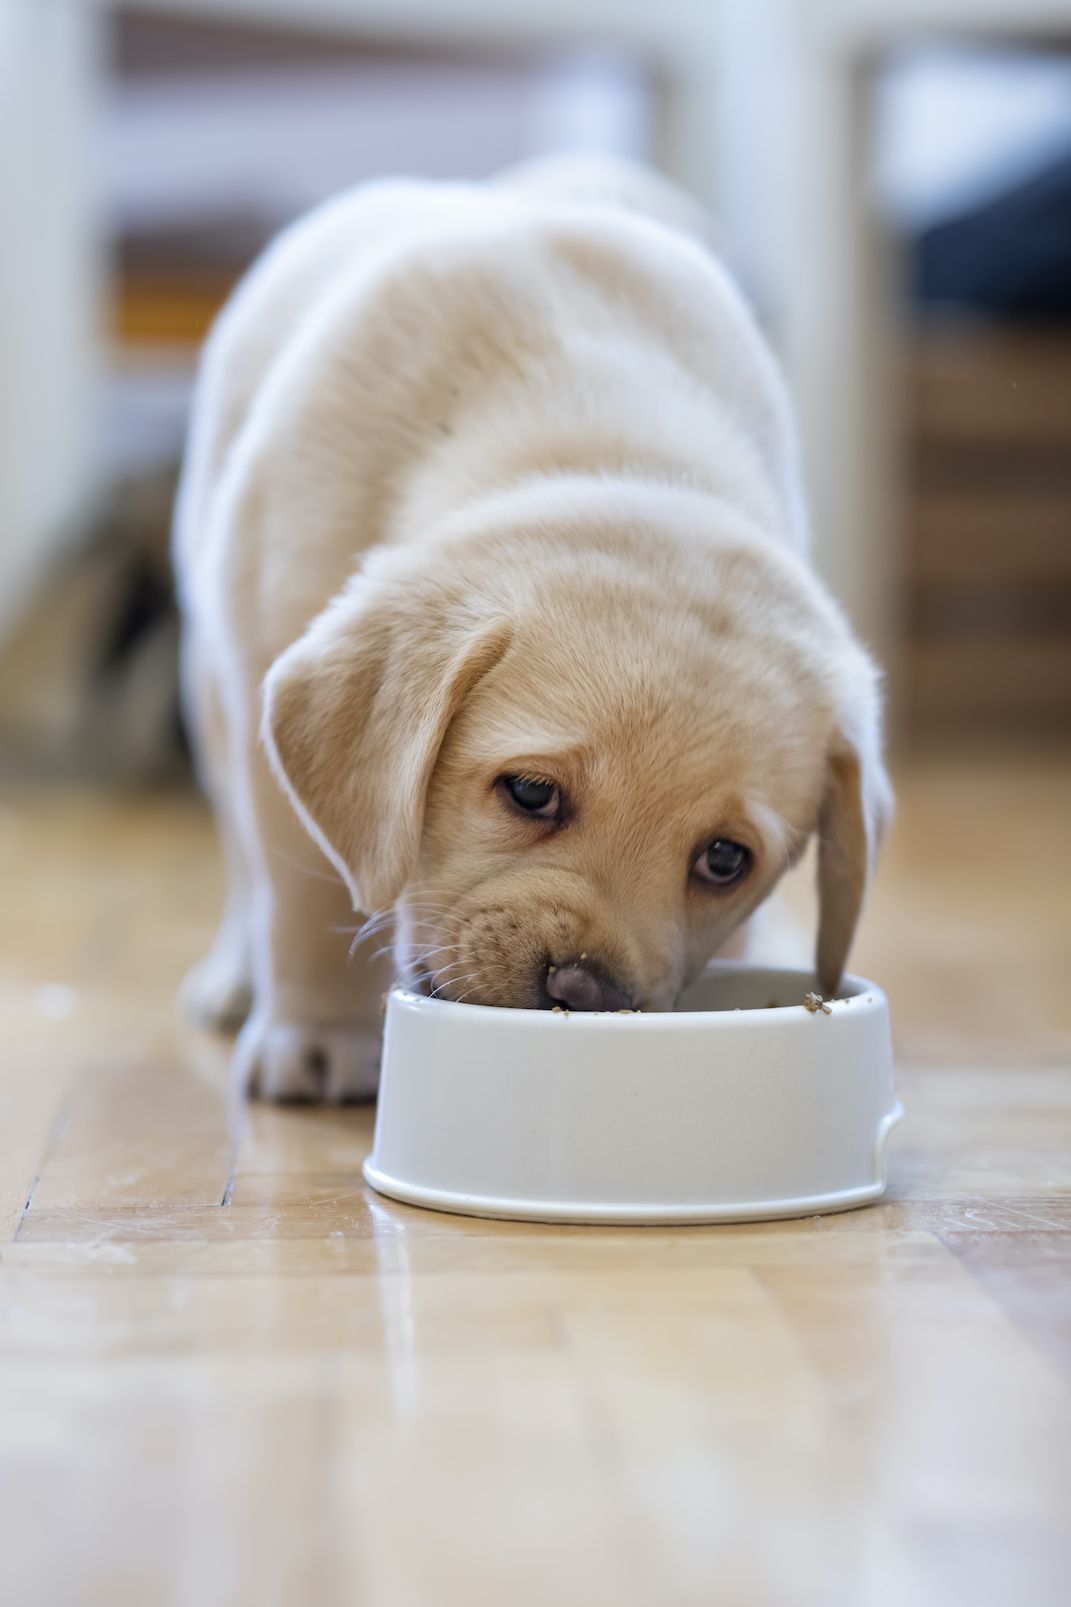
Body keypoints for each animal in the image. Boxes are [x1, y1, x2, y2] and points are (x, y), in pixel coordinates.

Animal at [176, 153, 894, 1105]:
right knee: (237, 849)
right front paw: (318, 1031)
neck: (608, 444)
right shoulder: (261, 640)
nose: (581, 990)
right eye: (528, 792)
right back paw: (230, 978)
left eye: (723, 860)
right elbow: (303, 889)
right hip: (209, 681)